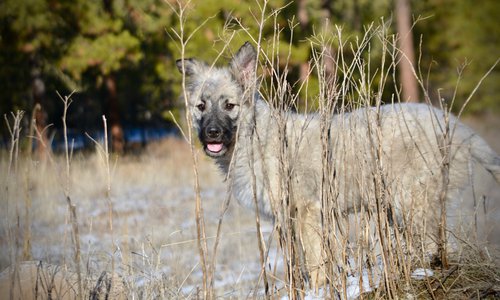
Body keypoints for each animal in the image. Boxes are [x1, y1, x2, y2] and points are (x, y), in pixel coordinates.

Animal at [177, 41, 500, 288]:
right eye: (201, 107)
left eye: (229, 105)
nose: (211, 134)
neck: (256, 136)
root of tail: (459, 128)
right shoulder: (287, 221)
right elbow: (299, 262)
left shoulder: (308, 212)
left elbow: (316, 261)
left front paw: (319, 289)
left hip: (412, 204)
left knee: (435, 245)